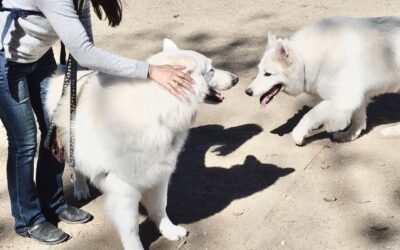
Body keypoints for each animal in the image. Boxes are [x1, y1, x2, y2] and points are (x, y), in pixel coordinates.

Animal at [45, 40, 238, 249]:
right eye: (210, 70)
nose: (236, 79)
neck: (159, 111)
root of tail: (67, 73)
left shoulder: (159, 174)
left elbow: (160, 207)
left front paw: (168, 230)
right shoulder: (125, 188)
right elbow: (130, 227)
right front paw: (135, 246)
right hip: (69, 144)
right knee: (76, 169)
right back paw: (81, 189)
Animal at [245, 16, 400, 146]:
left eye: (268, 74)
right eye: (259, 71)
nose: (247, 92)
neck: (306, 60)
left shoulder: (342, 99)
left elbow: (311, 115)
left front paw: (298, 134)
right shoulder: (356, 97)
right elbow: (358, 118)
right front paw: (350, 135)